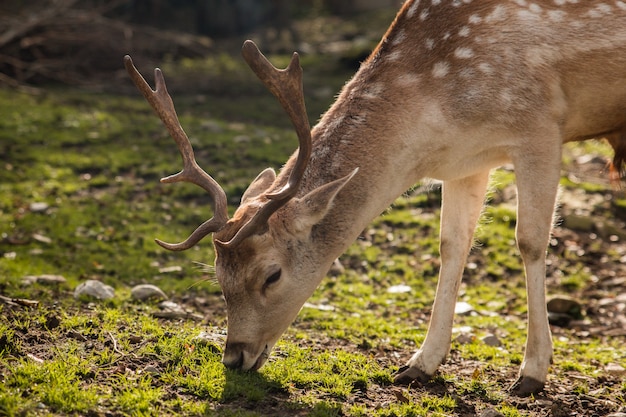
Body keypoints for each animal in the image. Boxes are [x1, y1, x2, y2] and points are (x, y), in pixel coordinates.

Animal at [124, 0, 624, 394]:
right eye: (218, 275)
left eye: (271, 275)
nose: (234, 357)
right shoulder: (468, 160)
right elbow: (452, 246)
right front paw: (419, 365)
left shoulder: (540, 125)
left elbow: (531, 241)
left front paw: (532, 373)